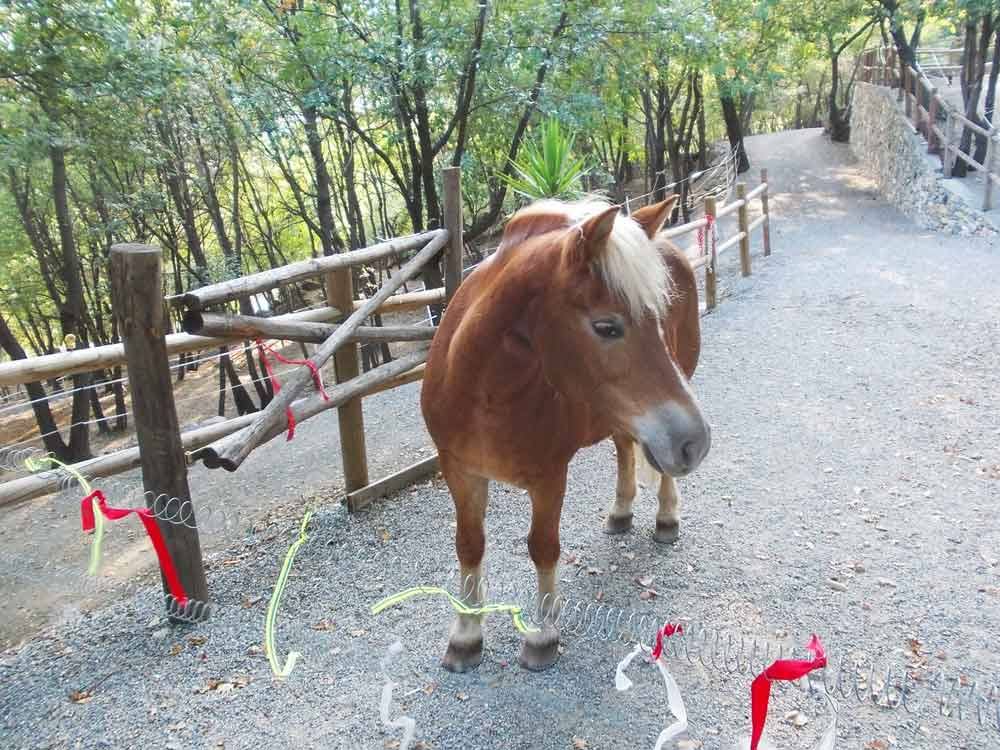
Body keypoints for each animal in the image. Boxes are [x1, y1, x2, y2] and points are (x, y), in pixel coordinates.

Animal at [420, 195, 711, 672]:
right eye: (606, 326)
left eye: (658, 317)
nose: (697, 441)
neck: (484, 392)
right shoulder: (459, 471)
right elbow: (469, 546)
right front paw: (465, 636)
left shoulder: (549, 478)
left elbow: (543, 547)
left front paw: (542, 635)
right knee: (624, 446)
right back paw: (621, 511)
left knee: (657, 466)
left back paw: (666, 517)